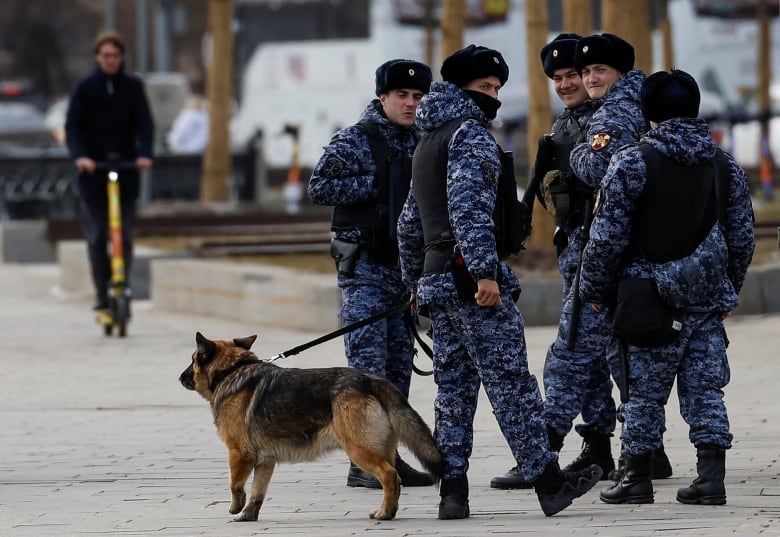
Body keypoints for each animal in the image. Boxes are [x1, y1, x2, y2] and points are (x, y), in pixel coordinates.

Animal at [179, 330, 442, 520]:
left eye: (192, 360)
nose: (180, 378)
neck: (232, 370)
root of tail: (369, 380)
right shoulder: (265, 462)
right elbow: (257, 492)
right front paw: (248, 515)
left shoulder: (239, 454)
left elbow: (235, 484)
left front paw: (235, 508)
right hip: (381, 449)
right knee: (395, 479)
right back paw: (390, 510)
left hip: (359, 450)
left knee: (389, 475)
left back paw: (385, 513)